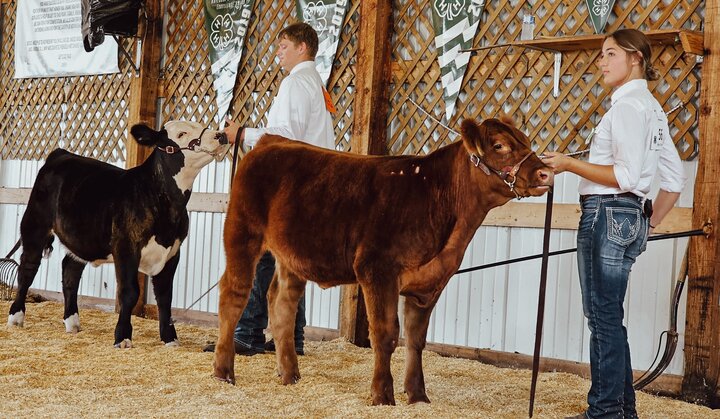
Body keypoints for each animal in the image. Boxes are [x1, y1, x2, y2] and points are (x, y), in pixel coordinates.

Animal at [7, 120, 228, 348]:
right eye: (181, 133)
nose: (221, 135)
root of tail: (61, 153)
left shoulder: (173, 251)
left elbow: (165, 296)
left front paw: (170, 338)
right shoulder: (126, 247)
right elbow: (129, 292)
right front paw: (122, 337)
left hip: (81, 239)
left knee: (70, 273)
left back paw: (72, 322)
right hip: (34, 226)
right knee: (27, 269)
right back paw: (16, 317)